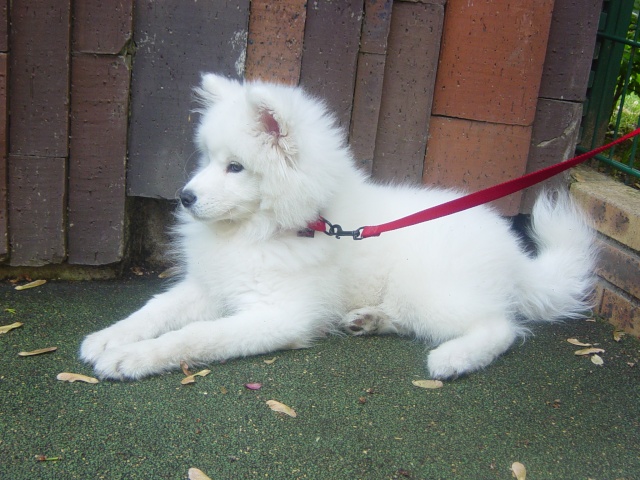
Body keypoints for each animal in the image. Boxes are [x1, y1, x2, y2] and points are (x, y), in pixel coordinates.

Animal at [80, 73, 596, 380]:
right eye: (206, 159)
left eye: (235, 167)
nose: (184, 197)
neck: (271, 229)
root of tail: (518, 258)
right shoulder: (210, 286)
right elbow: (153, 310)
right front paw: (110, 337)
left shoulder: (280, 314)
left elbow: (197, 336)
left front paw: (131, 358)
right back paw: (370, 320)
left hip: (430, 290)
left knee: (500, 326)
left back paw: (454, 358)